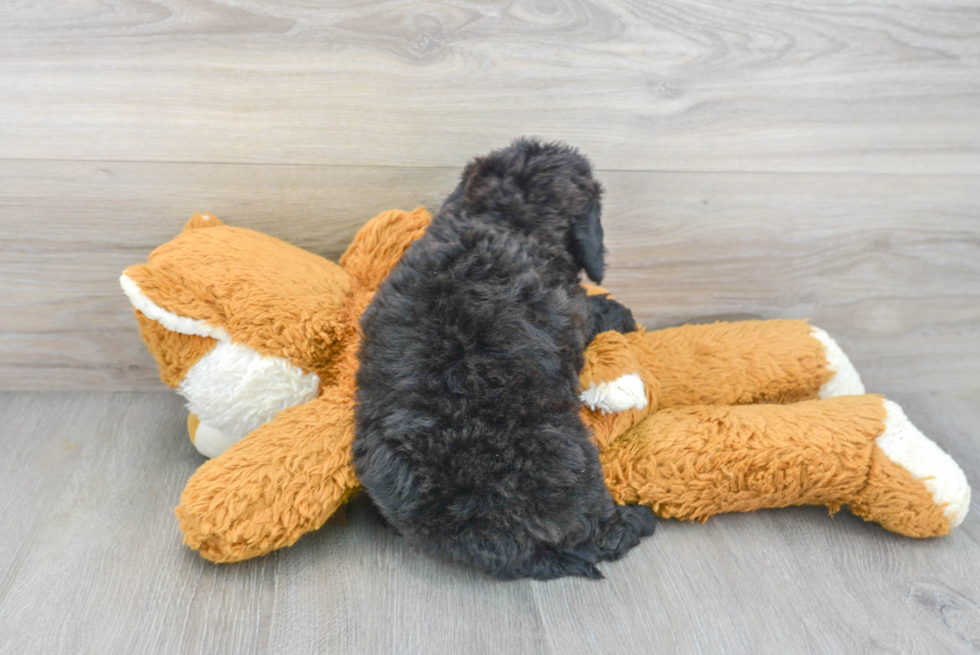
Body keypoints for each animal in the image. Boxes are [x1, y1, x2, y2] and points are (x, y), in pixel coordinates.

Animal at [356, 138, 656, 580]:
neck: (498, 218)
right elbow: (594, 308)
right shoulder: (572, 306)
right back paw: (638, 519)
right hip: (578, 467)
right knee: (603, 534)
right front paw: (622, 313)